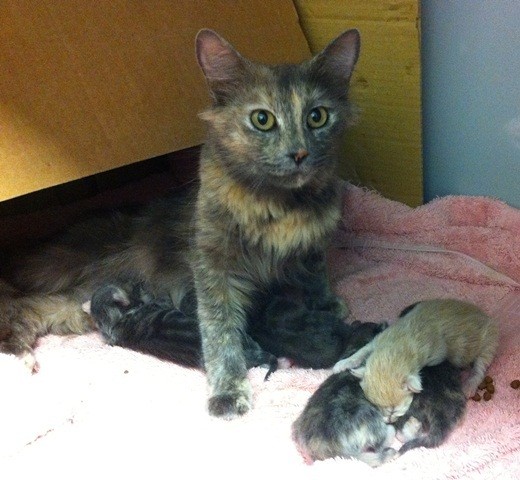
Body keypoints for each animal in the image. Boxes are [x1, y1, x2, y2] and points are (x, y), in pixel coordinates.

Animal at [0, 28, 361, 418]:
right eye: (262, 120)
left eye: (317, 117)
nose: (299, 154)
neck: (281, 203)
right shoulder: (212, 264)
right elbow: (220, 332)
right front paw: (228, 390)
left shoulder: (313, 245)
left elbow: (316, 277)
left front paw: (328, 304)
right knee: (14, 320)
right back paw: (24, 364)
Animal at [333, 299, 498, 423]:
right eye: (375, 405)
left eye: (393, 410)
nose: (387, 421)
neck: (398, 346)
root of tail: (486, 316)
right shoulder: (378, 340)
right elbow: (362, 351)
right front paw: (343, 364)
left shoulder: (435, 356)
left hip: (489, 343)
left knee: (480, 367)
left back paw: (470, 385)